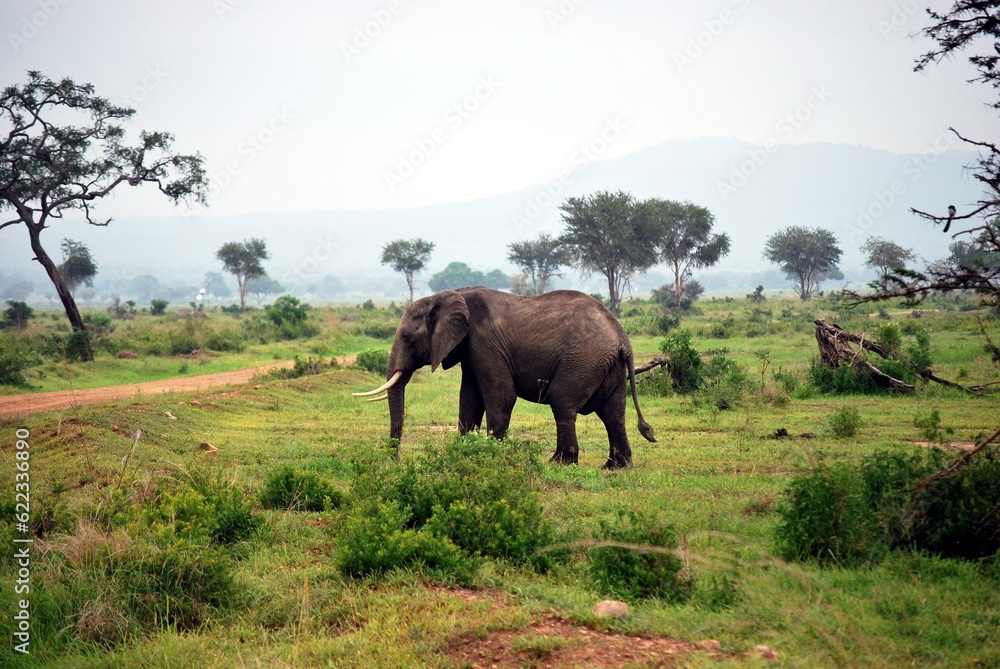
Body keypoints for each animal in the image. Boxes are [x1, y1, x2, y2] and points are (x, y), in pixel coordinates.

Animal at [354, 284, 656, 468]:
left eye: (408, 337)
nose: (395, 459)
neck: (450, 295)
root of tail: (622, 337)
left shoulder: (484, 343)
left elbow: (500, 397)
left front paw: (491, 457)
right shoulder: (470, 349)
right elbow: (469, 401)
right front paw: (464, 452)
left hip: (583, 360)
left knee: (563, 403)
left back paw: (559, 463)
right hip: (607, 365)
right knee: (613, 413)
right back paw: (615, 467)